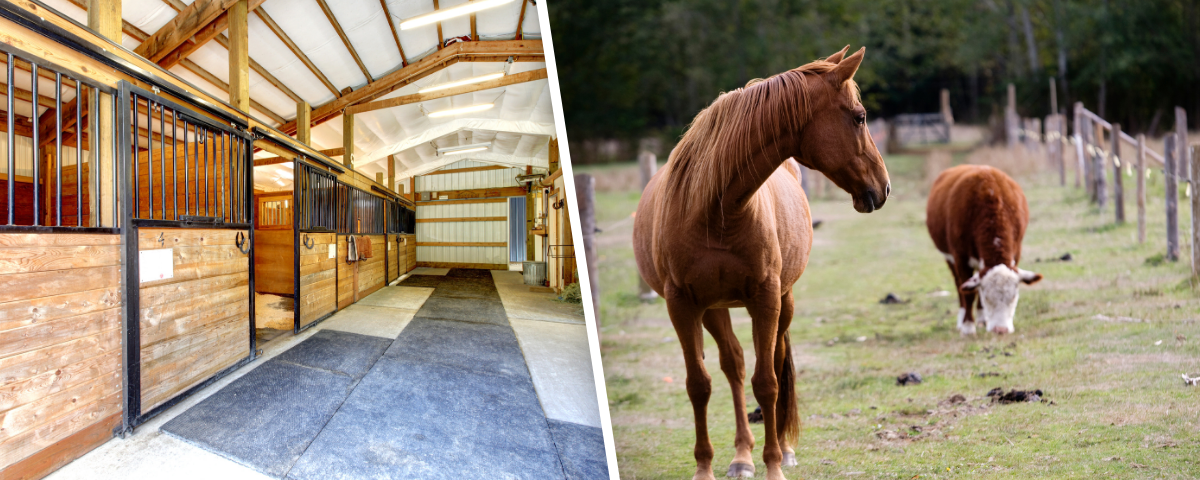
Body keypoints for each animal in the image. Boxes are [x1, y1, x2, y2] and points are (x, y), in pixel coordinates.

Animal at [632, 46, 890, 480]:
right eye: (859, 117)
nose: (884, 187)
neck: (715, 208)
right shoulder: (682, 305)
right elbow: (699, 384)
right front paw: (704, 467)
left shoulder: (766, 298)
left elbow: (767, 382)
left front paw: (773, 465)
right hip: (714, 308)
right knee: (733, 365)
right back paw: (741, 456)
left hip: (782, 301)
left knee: (775, 360)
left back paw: (781, 450)